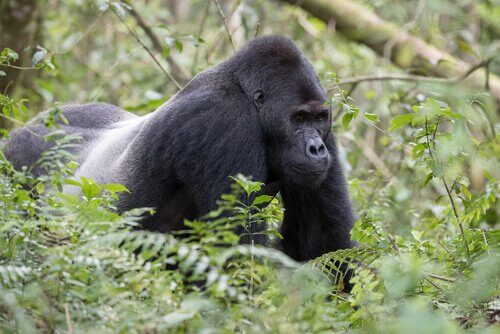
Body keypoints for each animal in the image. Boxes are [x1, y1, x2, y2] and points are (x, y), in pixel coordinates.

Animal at [2, 36, 356, 260]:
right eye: (298, 119)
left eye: (318, 118)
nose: (316, 148)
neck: (242, 89)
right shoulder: (224, 121)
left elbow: (322, 248)